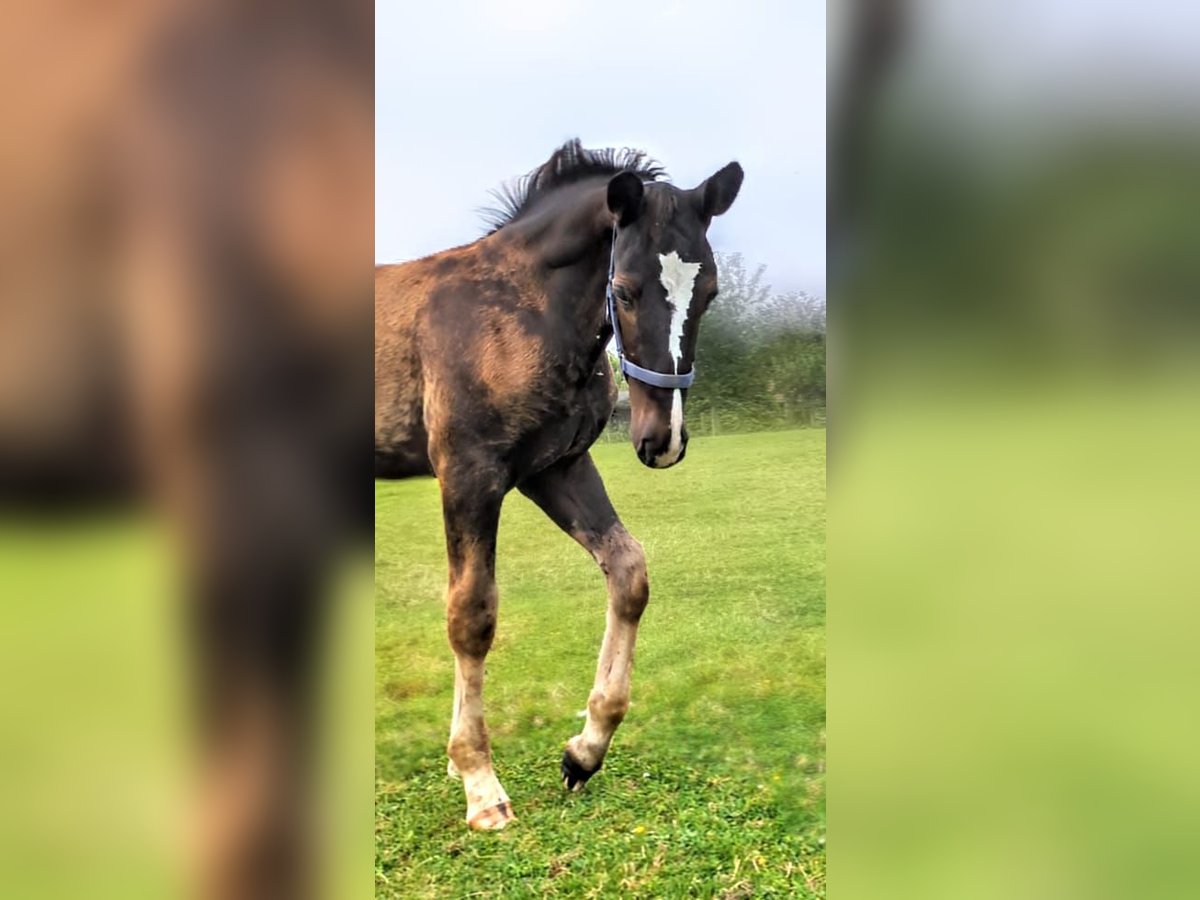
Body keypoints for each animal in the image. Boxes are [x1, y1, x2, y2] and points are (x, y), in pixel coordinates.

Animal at [374, 141, 739, 830]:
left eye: (708, 291)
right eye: (623, 291)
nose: (663, 439)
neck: (522, 313)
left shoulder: (557, 467)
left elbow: (629, 572)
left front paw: (583, 752)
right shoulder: (470, 473)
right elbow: (471, 615)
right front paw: (479, 782)